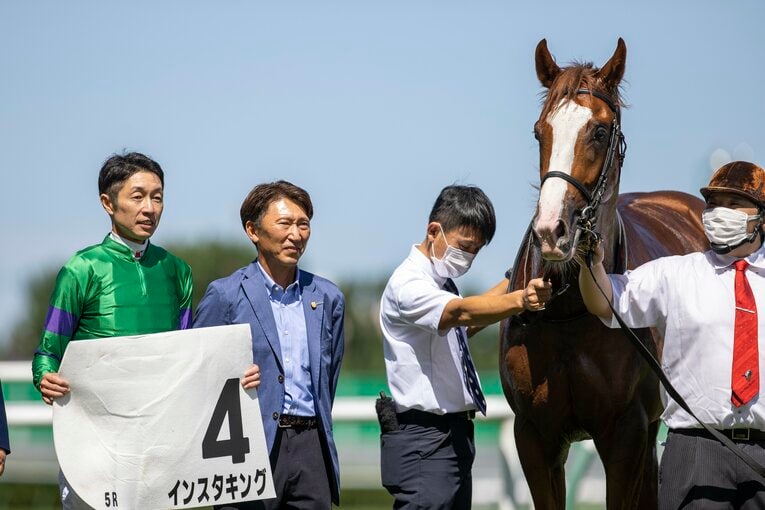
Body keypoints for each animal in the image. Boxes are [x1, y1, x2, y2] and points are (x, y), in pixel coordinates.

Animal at [499, 39, 709, 509]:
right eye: (540, 132)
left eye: (599, 131)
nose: (551, 230)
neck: (568, 312)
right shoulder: (534, 437)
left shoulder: (625, 435)